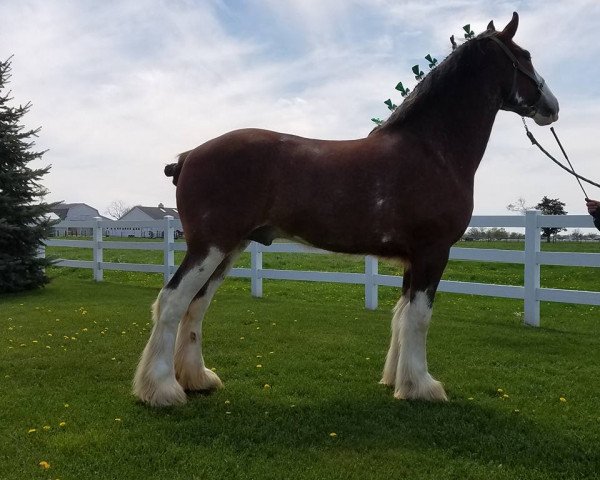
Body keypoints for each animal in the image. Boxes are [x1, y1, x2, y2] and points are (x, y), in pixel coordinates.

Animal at [134, 12, 560, 404]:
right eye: (525, 55)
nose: (552, 106)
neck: (431, 149)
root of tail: (189, 156)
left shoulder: (412, 259)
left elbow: (401, 316)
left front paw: (399, 381)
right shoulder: (433, 252)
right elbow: (419, 318)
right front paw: (423, 387)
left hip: (228, 249)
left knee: (196, 307)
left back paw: (196, 379)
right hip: (210, 247)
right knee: (172, 302)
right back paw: (163, 390)